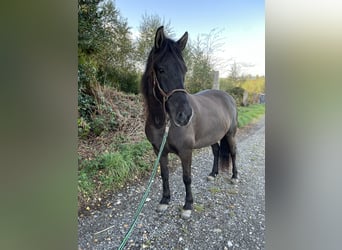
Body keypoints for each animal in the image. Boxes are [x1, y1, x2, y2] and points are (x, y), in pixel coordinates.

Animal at [142, 26, 238, 219]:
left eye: (184, 70)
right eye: (161, 69)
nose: (185, 116)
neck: (163, 124)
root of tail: (227, 96)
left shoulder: (186, 151)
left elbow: (186, 178)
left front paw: (188, 205)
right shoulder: (159, 151)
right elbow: (164, 175)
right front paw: (165, 201)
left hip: (230, 135)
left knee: (233, 152)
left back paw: (234, 177)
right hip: (212, 136)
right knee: (216, 151)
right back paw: (213, 174)